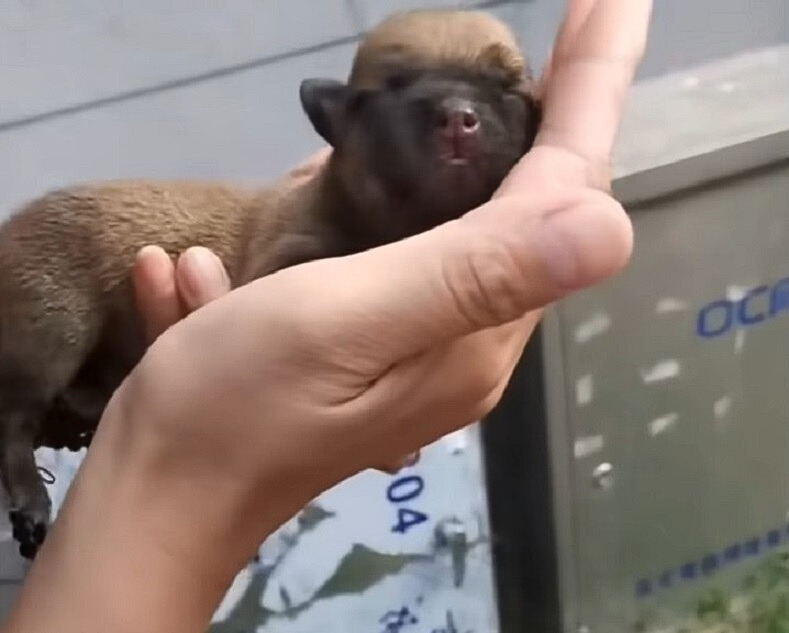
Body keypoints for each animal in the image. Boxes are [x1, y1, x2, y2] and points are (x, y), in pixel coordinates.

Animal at [0, 7, 540, 556]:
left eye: (507, 89)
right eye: (388, 88)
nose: (458, 118)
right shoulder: (281, 257)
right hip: (50, 320)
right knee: (13, 415)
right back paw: (32, 496)